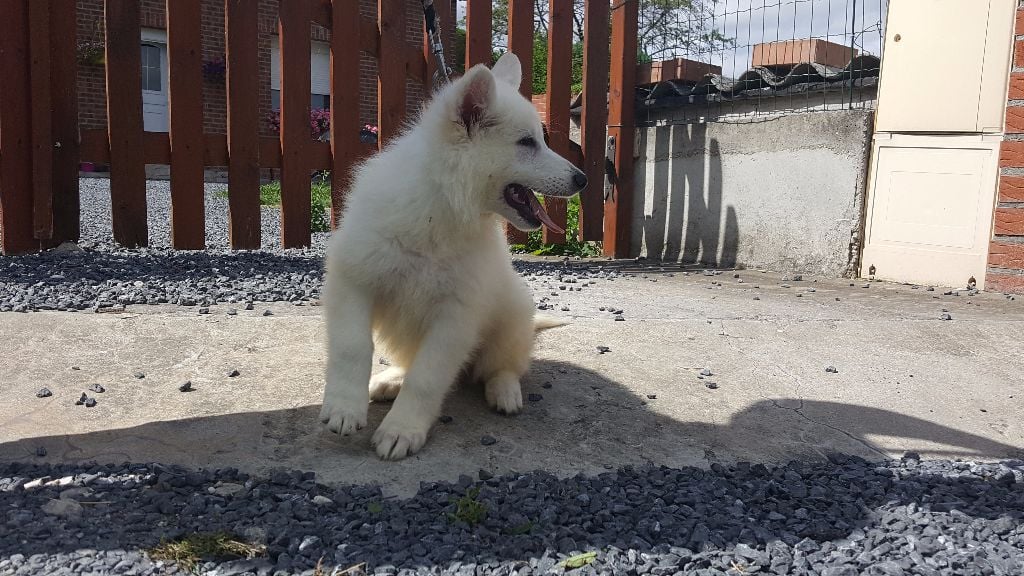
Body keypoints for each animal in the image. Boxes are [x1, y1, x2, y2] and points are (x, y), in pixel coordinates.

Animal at [319, 52, 593, 457]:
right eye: (527, 142)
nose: (583, 180)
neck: (443, 204)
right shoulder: (354, 280)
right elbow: (352, 346)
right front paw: (344, 407)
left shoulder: (455, 318)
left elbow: (427, 379)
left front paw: (401, 429)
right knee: (410, 362)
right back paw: (390, 379)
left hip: (512, 316)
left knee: (504, 365)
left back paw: (504, 391)